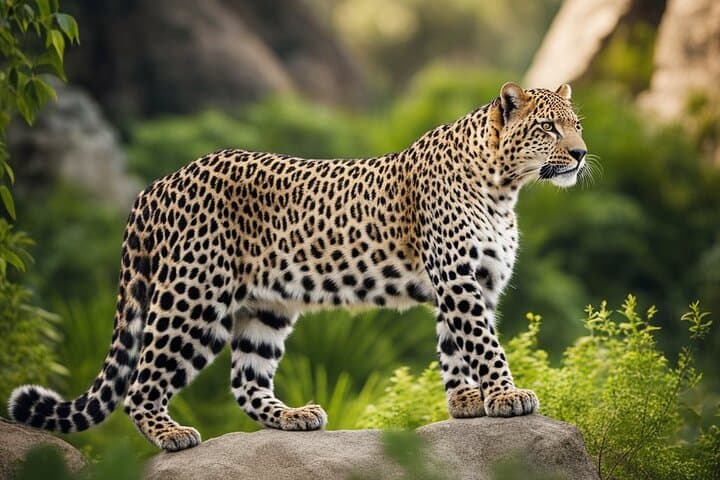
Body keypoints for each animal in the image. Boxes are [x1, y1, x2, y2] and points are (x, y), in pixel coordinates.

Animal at [9, 82, 589, 451]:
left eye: (577, 126)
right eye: (547, 128)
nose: (582, 154)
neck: (504, 188)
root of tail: (155, 186)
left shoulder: (474, 282)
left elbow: (456, 345)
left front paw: (467, 401)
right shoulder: (458, 278)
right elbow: (483, 343)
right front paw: (508, 396)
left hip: (265, 306)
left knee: (245, 380)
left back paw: (293, 417)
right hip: (194, 297)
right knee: (141, 382)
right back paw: (171, 435)